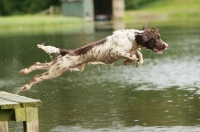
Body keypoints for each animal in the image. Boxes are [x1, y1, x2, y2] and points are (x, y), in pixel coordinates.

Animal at [19, 24, 168, 91]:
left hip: (57, 66)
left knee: (37, 64)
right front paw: (129, 60)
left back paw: (24, 71)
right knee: (37, 77)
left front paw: (135, 62)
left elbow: (138, 53)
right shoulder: (115, 51)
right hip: (56, 71)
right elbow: (131, 54)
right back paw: (26, 87)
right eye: (157, 38)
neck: (134, 38)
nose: (166, 46)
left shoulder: (133, 48)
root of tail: (66, 51)